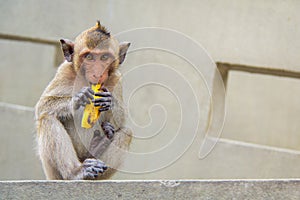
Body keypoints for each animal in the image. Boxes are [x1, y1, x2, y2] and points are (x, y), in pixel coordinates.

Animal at [35, 21, 132, 180]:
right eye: (89, 57)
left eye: (104, 57)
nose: (97, 73)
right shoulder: (64, 71)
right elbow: (42, 106)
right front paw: (79, 98)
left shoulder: (116, 79)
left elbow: (121, 122)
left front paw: (109, 101)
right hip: (53, 174)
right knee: (47, 118)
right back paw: (76, 172)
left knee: (126, 133)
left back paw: (102, 141)